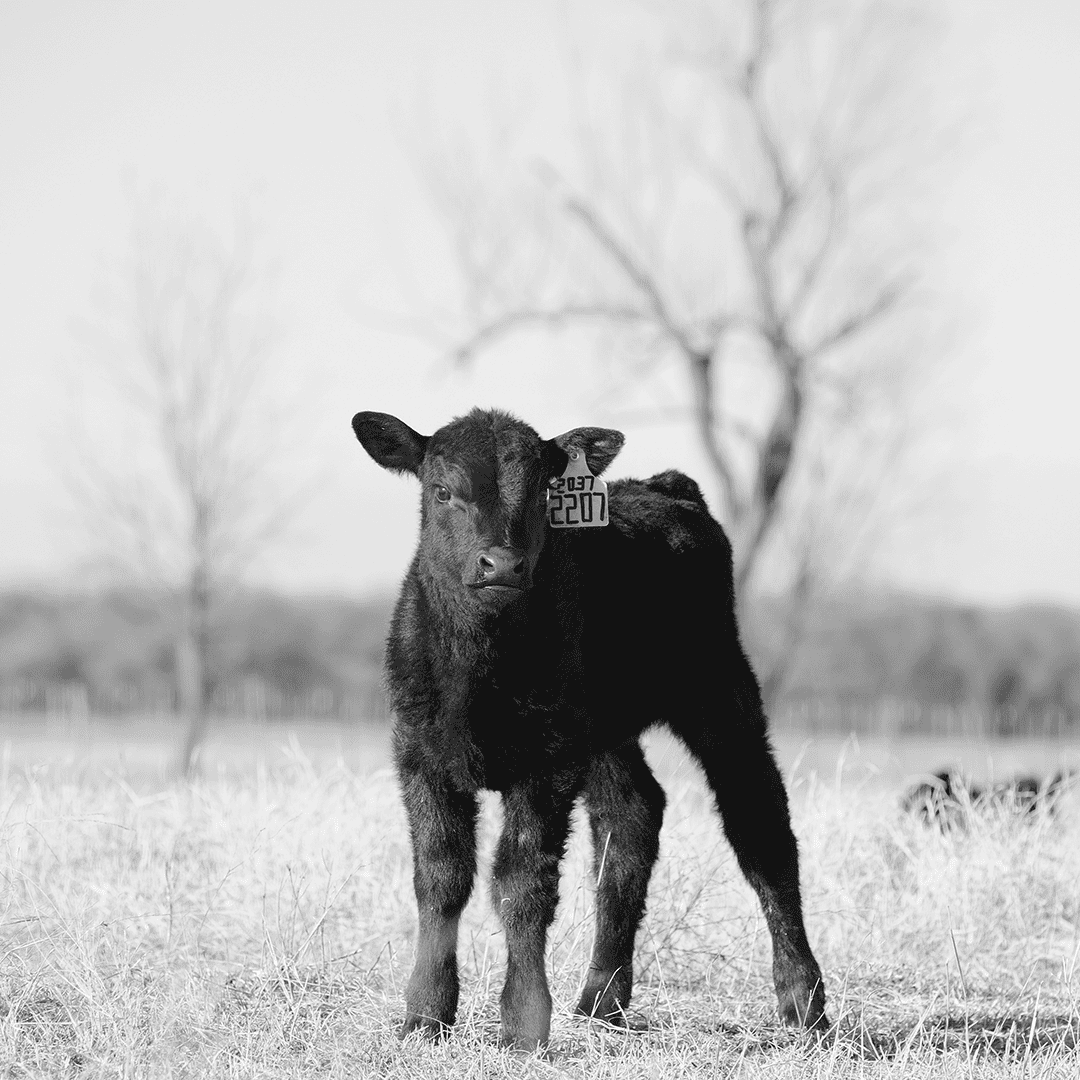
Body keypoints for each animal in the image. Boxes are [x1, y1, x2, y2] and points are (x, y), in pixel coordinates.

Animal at [351, 407, 826, 1051]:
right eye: (441, 491)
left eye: (545, 494)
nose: (501, 564)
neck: (481, 671)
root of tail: (664, 486)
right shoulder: (420, 756)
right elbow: (441, 877)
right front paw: (425, 1015)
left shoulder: (547, 764)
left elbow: (522, 881)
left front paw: (523, 1022)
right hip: (602, 730)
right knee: (632, 815)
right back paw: (602, 999)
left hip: (719, 688)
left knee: (760, 826)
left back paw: (804, 1005)